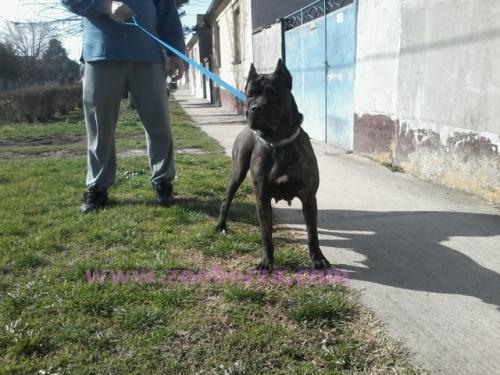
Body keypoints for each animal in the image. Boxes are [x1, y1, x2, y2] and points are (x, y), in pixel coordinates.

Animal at [214, 58, 328, 272]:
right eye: (249, 94)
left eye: (272, 92)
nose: (255, 109)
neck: (277, 141)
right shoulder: (262, 196)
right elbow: (265, 234)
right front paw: (266, 261)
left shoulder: (308, 197)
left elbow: (312, 233)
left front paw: (318, 259)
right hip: (237, 172)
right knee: (227, 199)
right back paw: (220, 225)